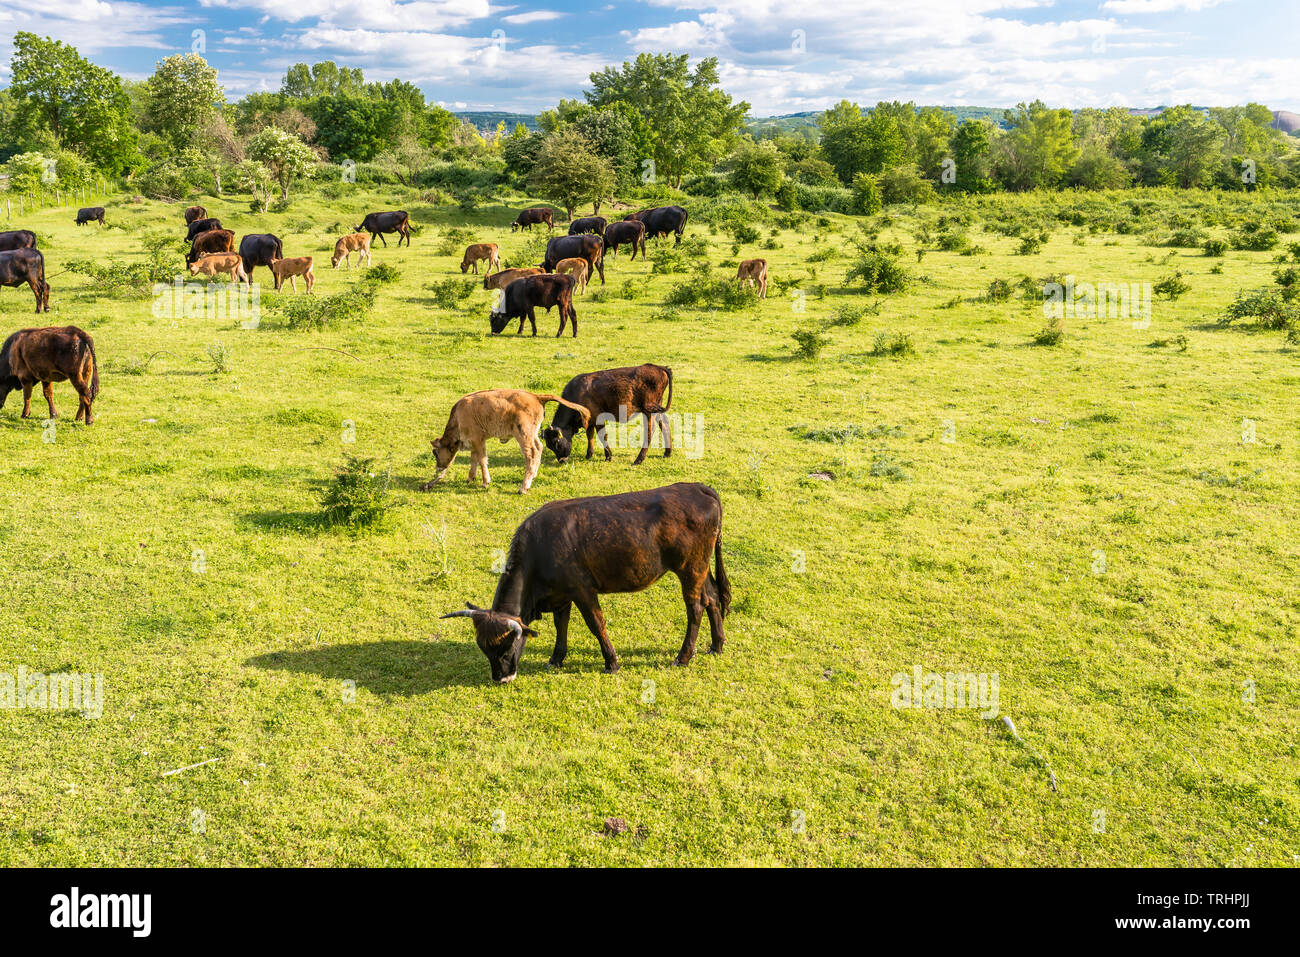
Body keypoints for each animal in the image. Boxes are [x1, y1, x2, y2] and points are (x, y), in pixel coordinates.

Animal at [419, 389, 590, 494]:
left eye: (435, 452)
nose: (438, 468)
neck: (458, 416)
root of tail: (535, 396)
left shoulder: (478, 440)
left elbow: (481, 459)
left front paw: (485, 482)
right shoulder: (475, 442)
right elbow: (474, 459)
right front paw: (470, 478)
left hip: (523, 436)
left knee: (531, 454)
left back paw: (523, 488)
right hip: (533, 434)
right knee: (539, 448)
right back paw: (533, 475)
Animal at [440, 483, 730, 681]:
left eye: (506, 646)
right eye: (485, 650)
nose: (502, 678)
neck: (539, 546)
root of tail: (697, 488)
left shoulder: (582, 590)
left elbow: (596, 624)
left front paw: (611, 662)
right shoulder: (561, 595)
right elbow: (561, 625)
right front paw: (556, 658)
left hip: (689, 570)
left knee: (695, 608)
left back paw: (683, 656)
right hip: (700, 569)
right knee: (712, 598)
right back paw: (716, 645)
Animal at [543, 364, 673, 466]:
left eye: (556, 442)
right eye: (549, 445)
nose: (562, 460)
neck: (577, 393)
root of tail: (658, 367)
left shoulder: (597, 418)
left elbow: (602, 435)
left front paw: (608, 456)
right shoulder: (590, 420)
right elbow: (590, 435)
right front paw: (589, 455)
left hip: (649, 411)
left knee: (650, 431)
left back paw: (639, 459)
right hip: (657, 409)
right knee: (665, 424)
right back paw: (667, 453)